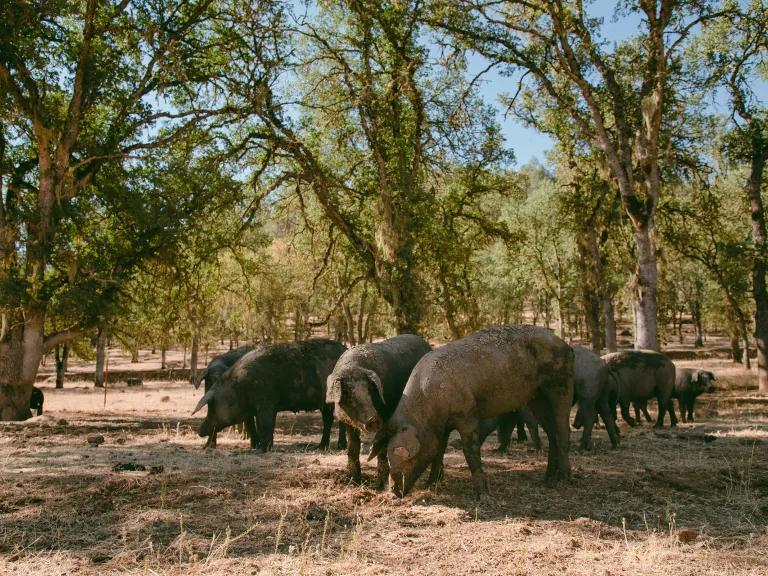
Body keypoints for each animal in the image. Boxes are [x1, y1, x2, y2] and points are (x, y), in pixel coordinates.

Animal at [194, 340, 346, 452]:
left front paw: (260, 450)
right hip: (325, 403)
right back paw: (320, 447)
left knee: (340, 421)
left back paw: (339, 447)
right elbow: (264, 425)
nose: (199, 430)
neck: (239, 388)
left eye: (212, 407)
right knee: (328, 420)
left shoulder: (265, 403)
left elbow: (265, 424)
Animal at [324, 336, 432, 488]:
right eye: (348, 395)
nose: (373, 419)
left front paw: (381, 486)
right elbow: (352, 449)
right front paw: (353, 482)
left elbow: (382, 450)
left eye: (369, 392)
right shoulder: (348, 422)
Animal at [368, 324, 572, 500]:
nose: (393, 492)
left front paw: (483, 497)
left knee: (563, 432)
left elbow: (470, 450)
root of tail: (565, 344)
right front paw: (430, 485)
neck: (429, 406)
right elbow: (439, 451)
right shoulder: (442, 427)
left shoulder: (467, 415)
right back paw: (547, 480)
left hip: (560, 384)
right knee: (552, 433)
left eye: (399, 451)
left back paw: (563, 481)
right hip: (537, 397)